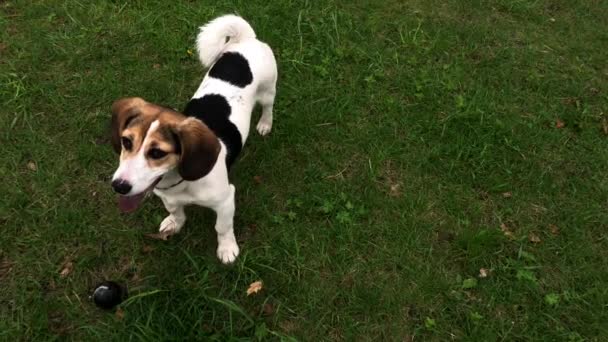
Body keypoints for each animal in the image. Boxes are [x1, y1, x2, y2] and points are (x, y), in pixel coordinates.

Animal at [110, 14, 278, 264]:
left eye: (157, 153)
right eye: (126, 142)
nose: (119, 186)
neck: (181, 183)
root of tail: (245, 39)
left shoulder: (226, 200)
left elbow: (222, 227)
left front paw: (227, 248)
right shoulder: (168, 197)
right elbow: (175, 211)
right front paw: (174, 223)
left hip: (268, 90)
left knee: (268, 107)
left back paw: (265, 124)